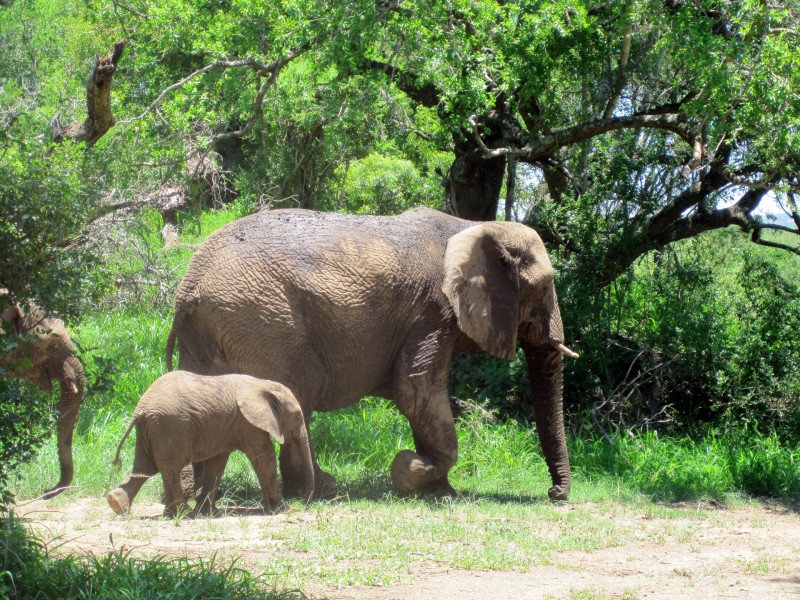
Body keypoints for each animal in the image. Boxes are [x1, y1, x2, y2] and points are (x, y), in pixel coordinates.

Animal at [108, 370, 314, 516]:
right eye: (297, 417)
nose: (305, 503)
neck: (264, 384)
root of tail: (140, 409)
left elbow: (217, 463)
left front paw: (209, 512)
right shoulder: (248, 424)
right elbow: (264, 457)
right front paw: (284, 510)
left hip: (151, 429)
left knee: (144, 467)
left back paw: (118, 504)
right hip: (170, 426)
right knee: (169, 467)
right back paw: (183, 513)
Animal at [166, 209, 580, 500]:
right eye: (544, 287)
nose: (555, 493)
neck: (474, 225)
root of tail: (188, 285)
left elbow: (419, 398)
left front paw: (441, 493)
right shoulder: (432, 312)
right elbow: (416, 392)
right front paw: (407, 473)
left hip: (215, 327)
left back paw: (198, 496)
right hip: (263, 318)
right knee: (300, 387)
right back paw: (317, 491)